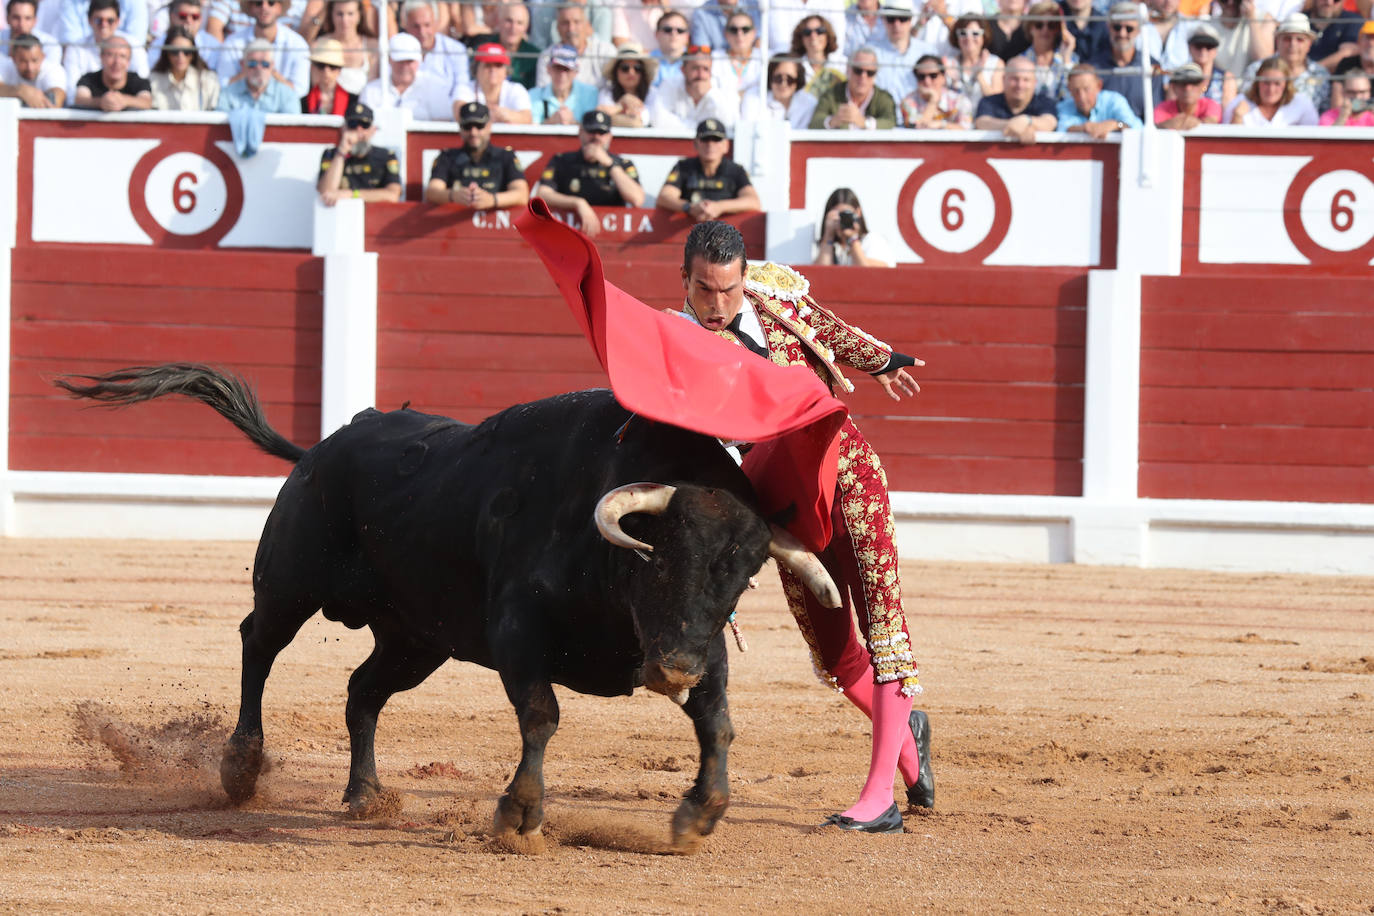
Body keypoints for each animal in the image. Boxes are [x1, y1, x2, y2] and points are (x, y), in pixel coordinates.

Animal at [56, 365, 835, 851]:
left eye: (743, 575)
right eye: (661, 553)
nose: (672, 672)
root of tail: (318, 450)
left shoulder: (699, 644)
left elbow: (718, 722)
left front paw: (699, 816)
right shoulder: (520, 631)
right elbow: (542, 715)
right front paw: (519, 816)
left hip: (416, 639)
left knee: (361, 691)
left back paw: (366, 795)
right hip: (289, 583)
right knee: (258, 645)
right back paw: (242, 765)